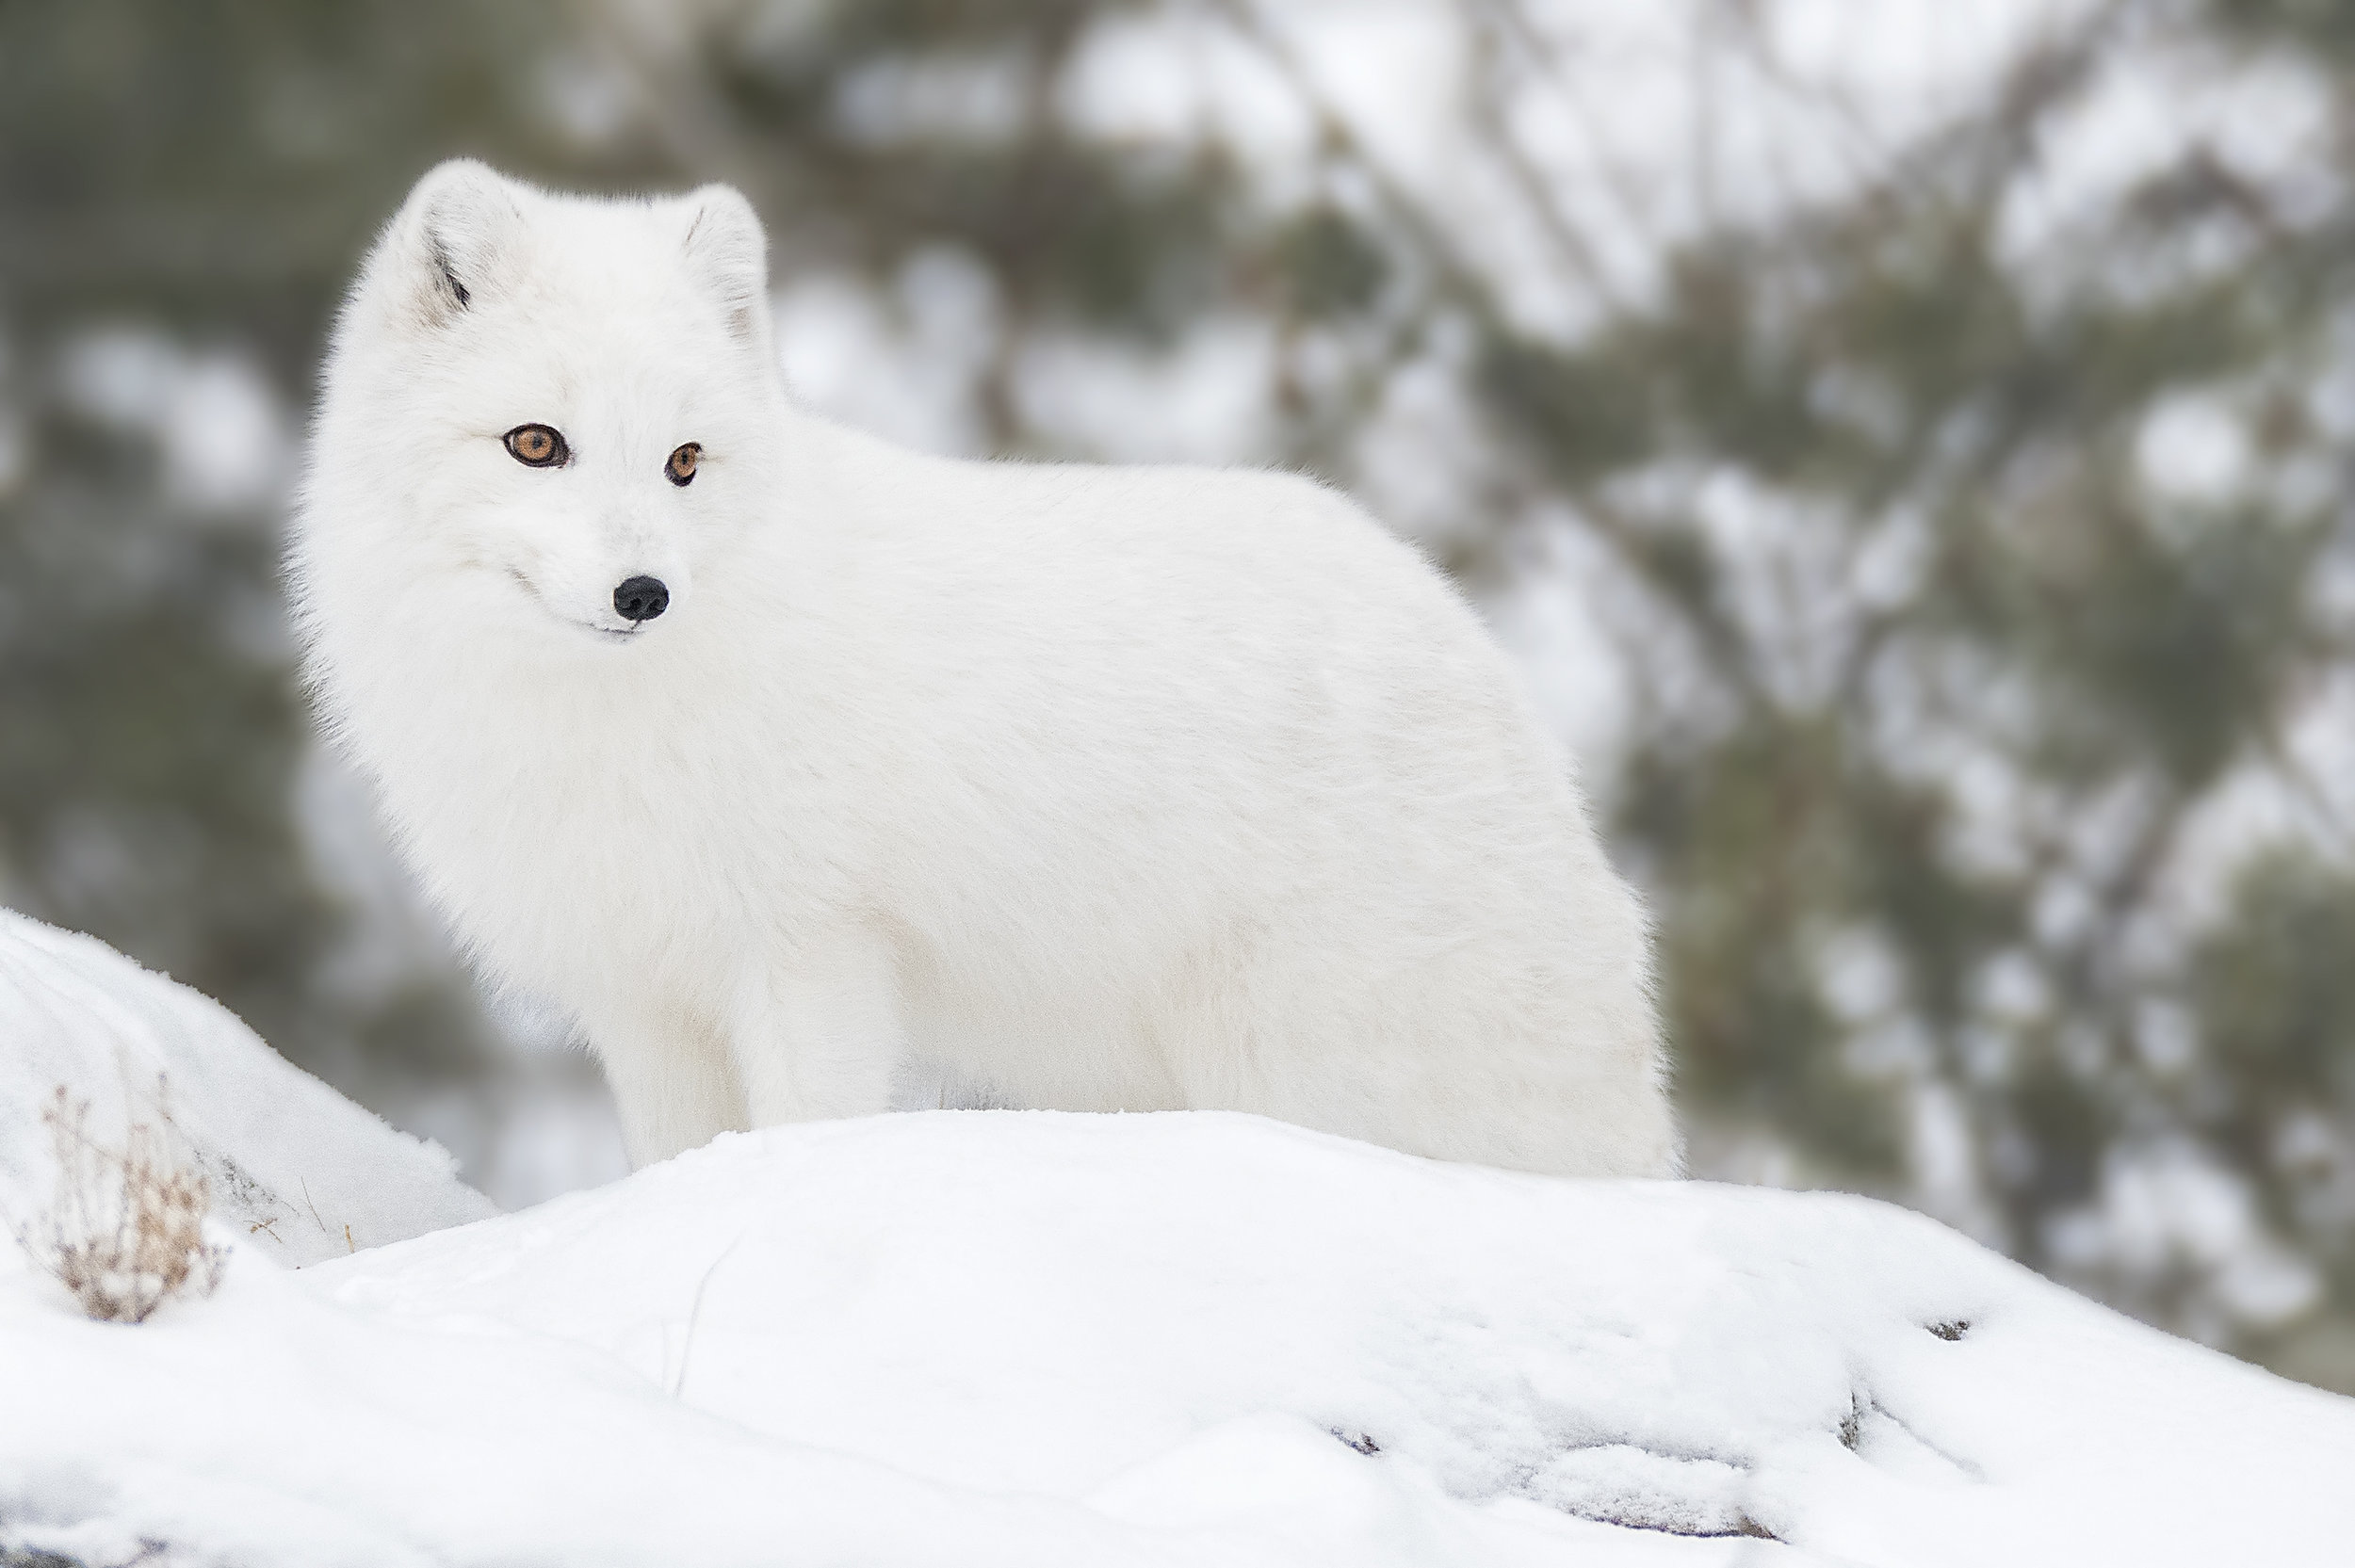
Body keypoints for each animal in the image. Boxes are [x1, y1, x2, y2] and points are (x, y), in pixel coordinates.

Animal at [294, 168, 1686, 1172]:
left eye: (685, 462)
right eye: (536, 444)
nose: (646, 594)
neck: (592, 723)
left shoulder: (808, 953)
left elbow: (808, 1128)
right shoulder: (643, 1000)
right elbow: (670, 1160)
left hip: (1310, 1058)